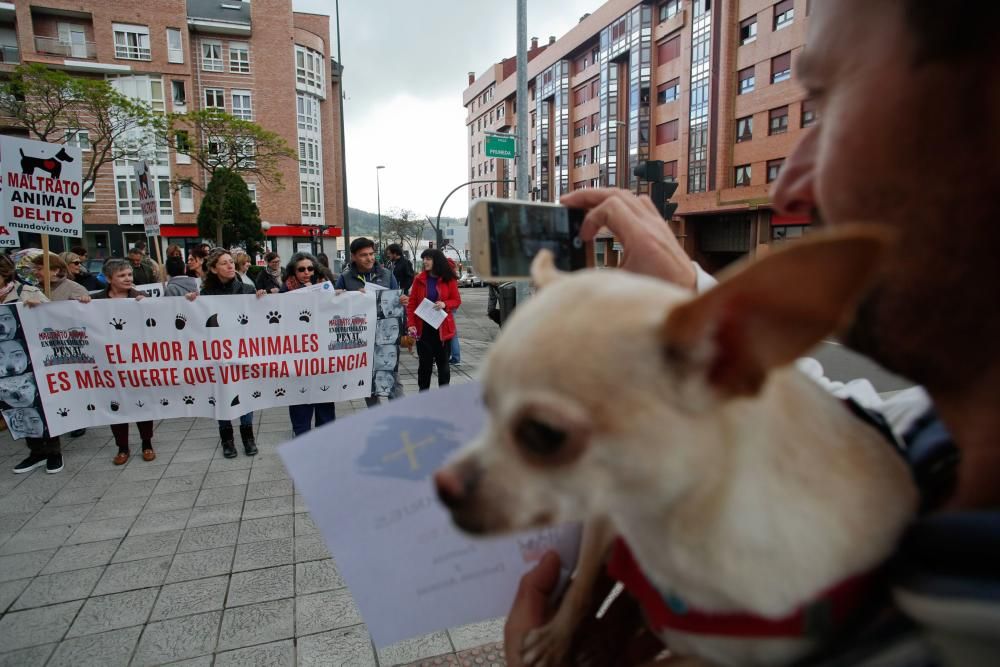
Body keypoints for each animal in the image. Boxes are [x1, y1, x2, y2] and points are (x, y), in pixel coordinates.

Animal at [434, 230, 916, 667]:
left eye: (544, 434)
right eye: (484, 404)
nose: (442, 485)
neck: (666, 526)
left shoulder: (714, 658)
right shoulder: (607, 515)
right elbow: (583, 583)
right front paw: (558, 636)